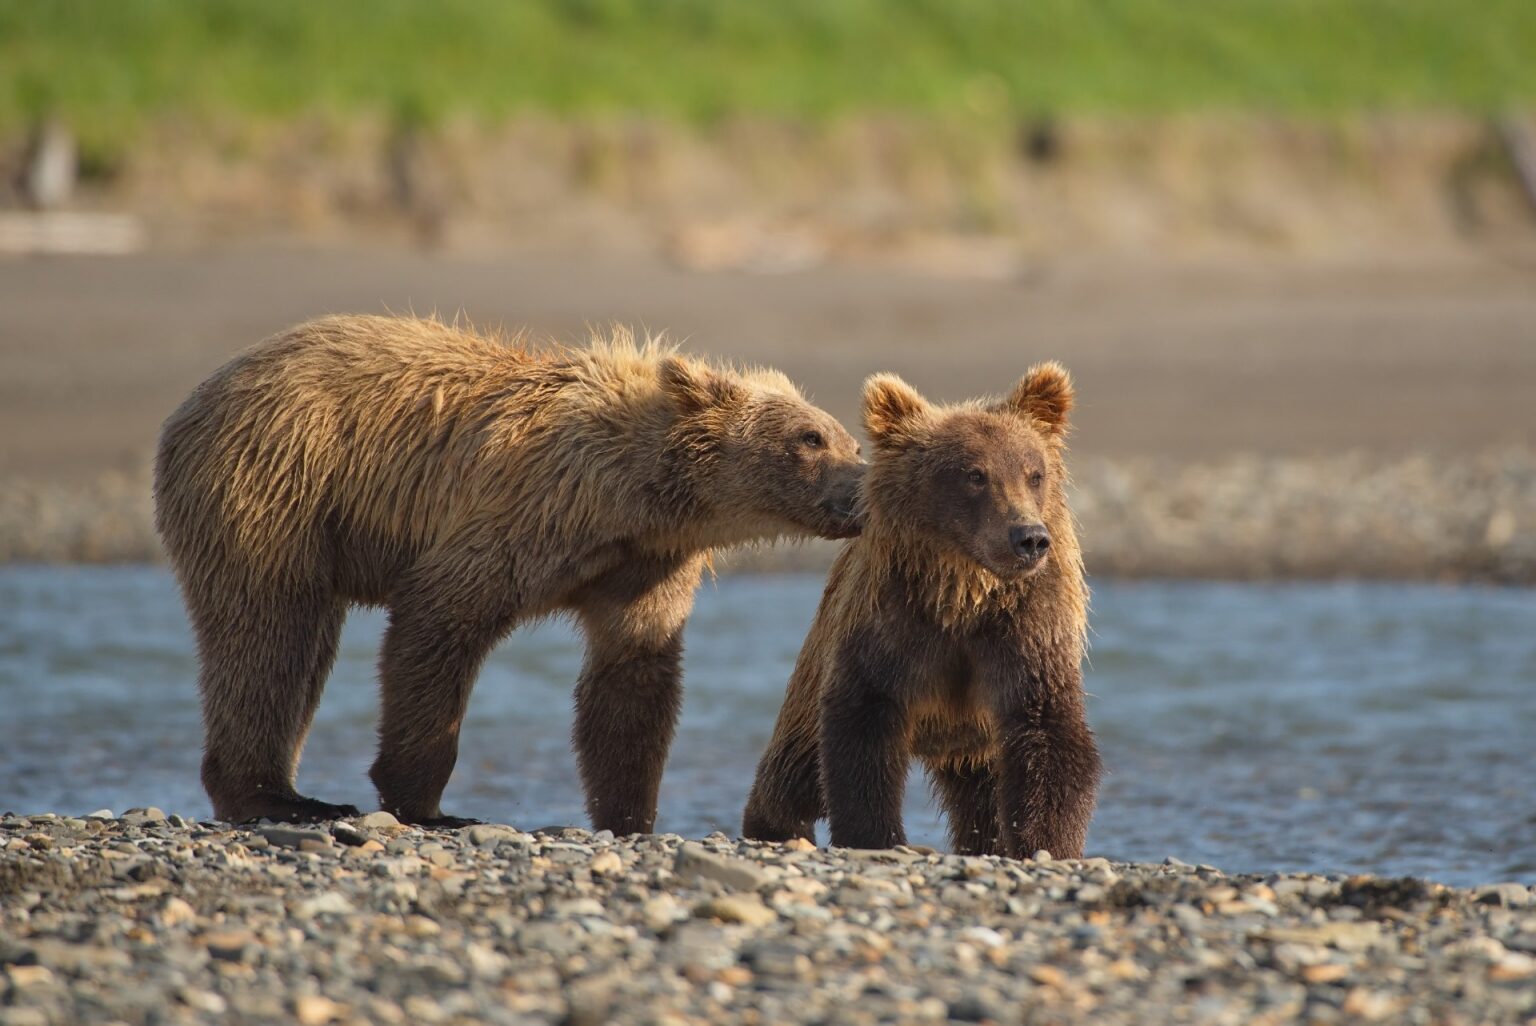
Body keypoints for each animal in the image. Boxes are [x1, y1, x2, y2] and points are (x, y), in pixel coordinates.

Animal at [153, 314, 865, 829]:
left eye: (850, 439)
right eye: (810, 438)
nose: (861, 489)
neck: (638, 495)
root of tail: (194, 399)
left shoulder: (645, 564)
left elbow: (632, 678)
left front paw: (633, 816)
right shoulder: (526, 511)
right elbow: (440, 619)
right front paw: (428, 803)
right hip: (275, 483)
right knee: (269, 633)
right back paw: (277, 797)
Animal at [741, 364, 1100, 858]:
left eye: (1034, 473)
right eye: (975, 475)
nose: (1028, 537)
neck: (963, 593)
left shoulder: (1025, 628)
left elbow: (1046, 729)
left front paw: (1047, 844)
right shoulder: (892, 622)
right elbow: (863, 729)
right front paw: (875, 837)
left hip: (977, 748)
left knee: (980, 802)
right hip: (815, 669)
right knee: (796, 765)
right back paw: (771, 825)